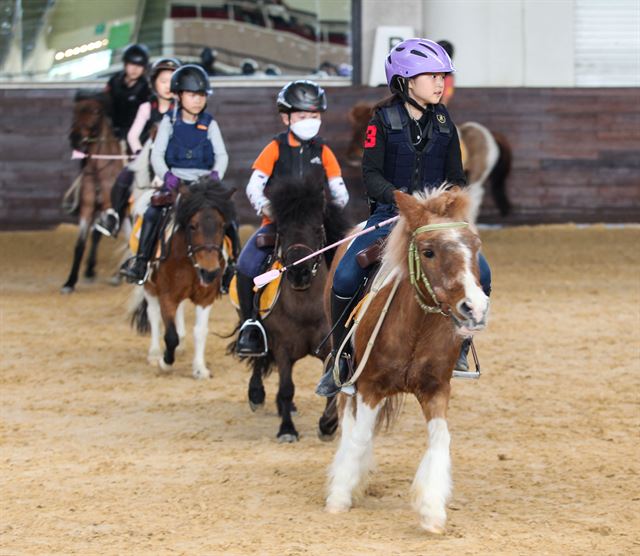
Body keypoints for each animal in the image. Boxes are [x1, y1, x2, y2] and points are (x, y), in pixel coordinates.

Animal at [61, 91, 124, 294]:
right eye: (76, 110)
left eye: (96, 112)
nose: (75, 138)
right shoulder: (88, 207)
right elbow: (81, 243)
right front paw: (70, 282)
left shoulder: (111, 207)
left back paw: (118, 276)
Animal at [131, 180, 235, 380]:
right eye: (192, 226)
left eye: (222, 226)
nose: (209, 272)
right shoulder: (167, 296)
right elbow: (170, 335)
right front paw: (165, 363)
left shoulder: (206, 297)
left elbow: (200, 331)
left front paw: (200, 369)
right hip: (149, 286)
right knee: (153, 314)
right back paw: (155, 354)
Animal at [231, 174, 348, 444]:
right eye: (282, 231)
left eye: (317, 229)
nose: (299, 273)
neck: (304, 308)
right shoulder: (282, 346)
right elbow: (286, 388)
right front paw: (287, 430)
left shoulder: (328, 347)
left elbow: (329, 386)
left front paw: (327, 426)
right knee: (257, 358)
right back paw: (257, 395)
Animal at [324, 187, 490, 536]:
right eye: (428, 252)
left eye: (474, 245)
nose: (475, 307)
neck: (416, 327)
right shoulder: (369, 386)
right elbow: (359, 435)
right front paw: (340, 496)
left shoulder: (436, 389)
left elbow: (441, 441)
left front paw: (432, 511)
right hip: (346, 375)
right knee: (348, 419)